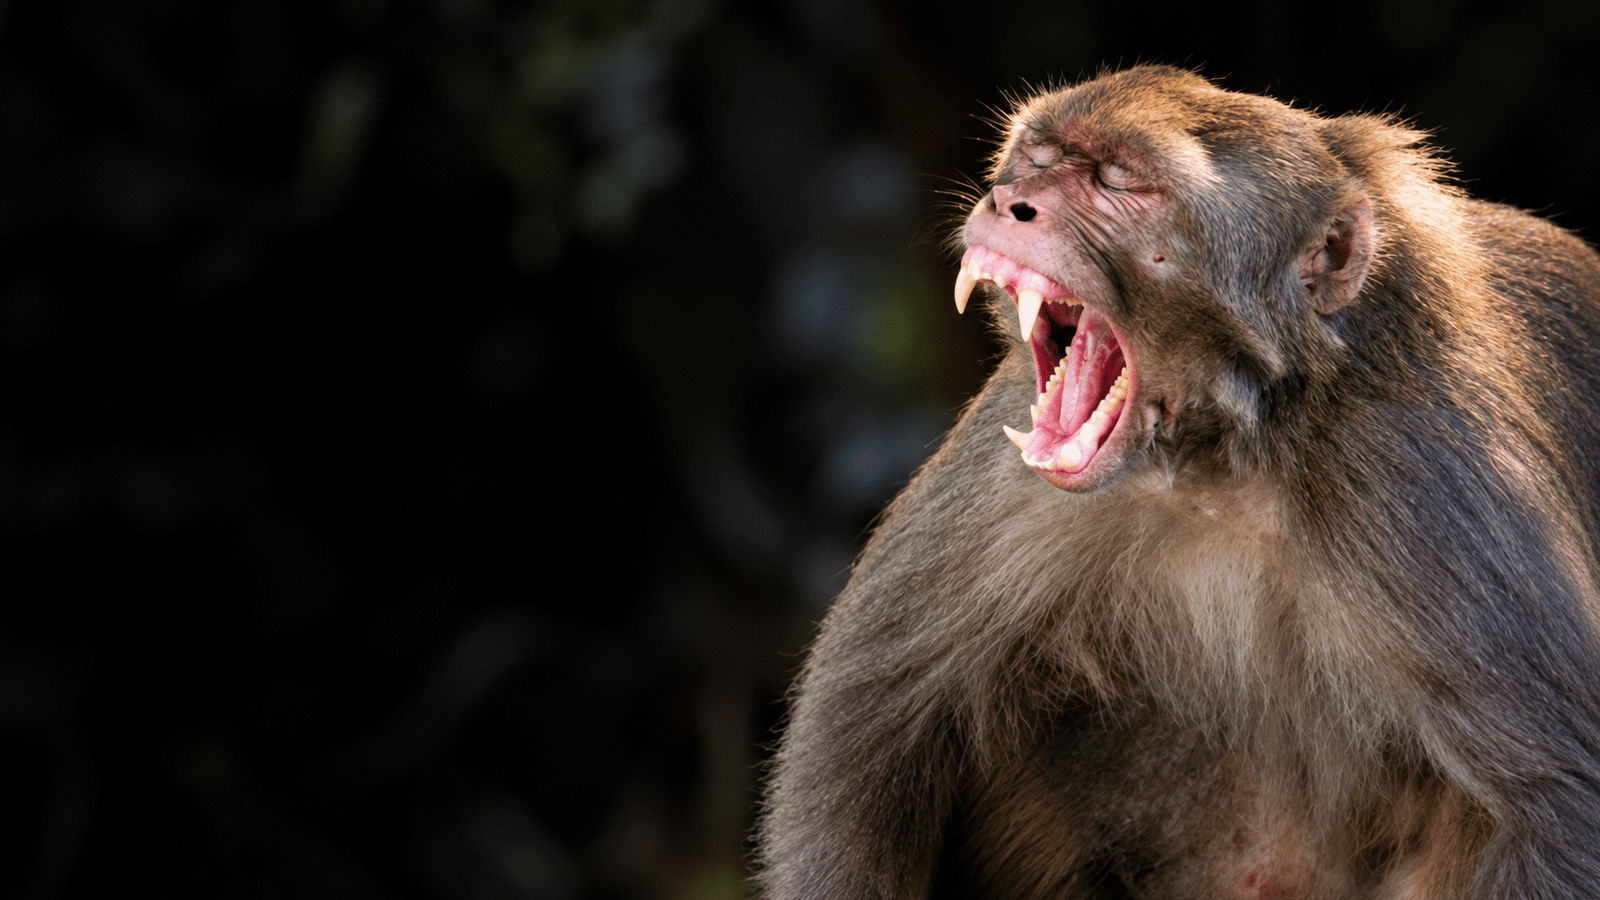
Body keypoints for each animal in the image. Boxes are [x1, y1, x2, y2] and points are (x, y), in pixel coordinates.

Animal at [756, 66, 1600, 900]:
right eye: (1037, 159)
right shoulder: (1008, 465)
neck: (1225, 454)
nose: (1009, 201)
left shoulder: (1425, 472)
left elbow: (1560, 805)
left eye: (1118, 181)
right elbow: (868, 731)